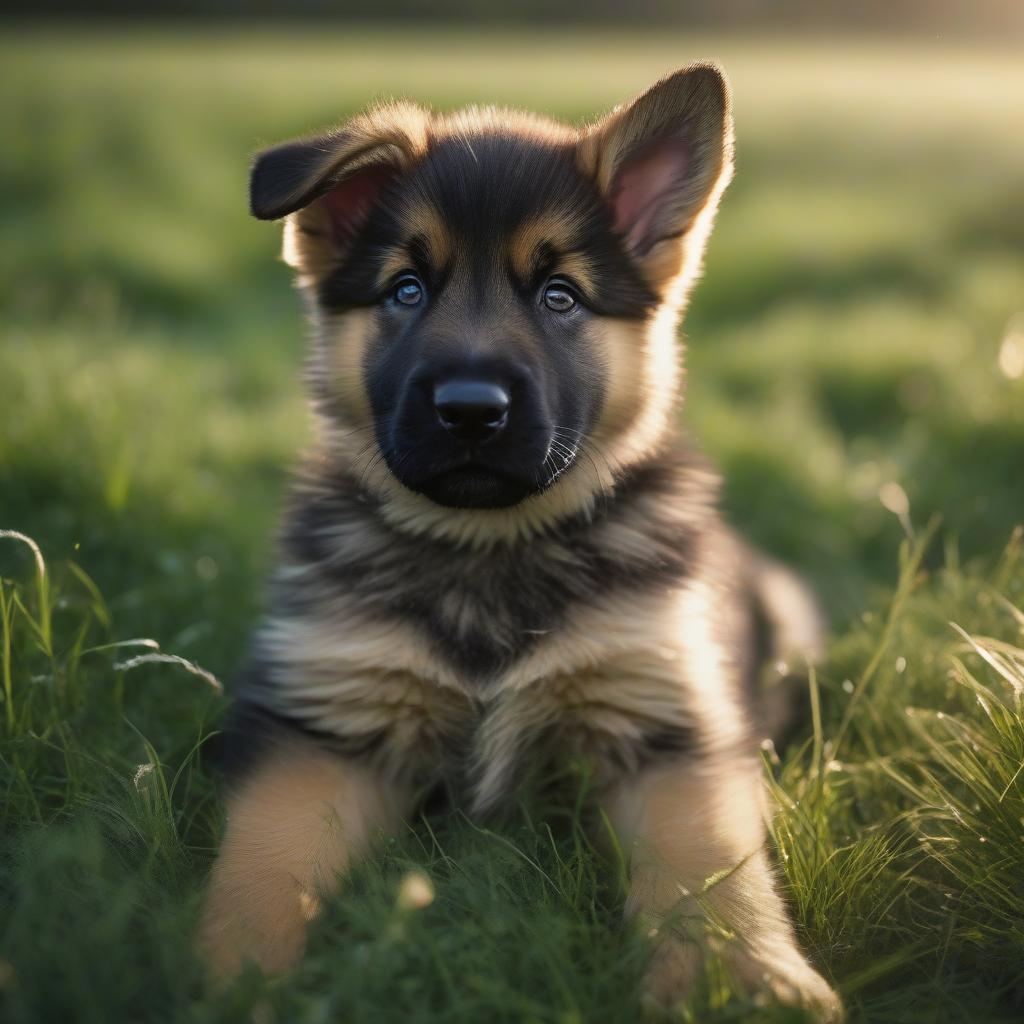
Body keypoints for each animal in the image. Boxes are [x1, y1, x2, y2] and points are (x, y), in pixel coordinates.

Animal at [197, 61, 839, 1015]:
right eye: (406, 290)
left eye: (559, 295)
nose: (470, 409)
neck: (487, 547)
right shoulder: (324, 727)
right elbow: (262, 862)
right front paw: (230, 976)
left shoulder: (662, 721)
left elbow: (708, 866)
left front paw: (740, 979)